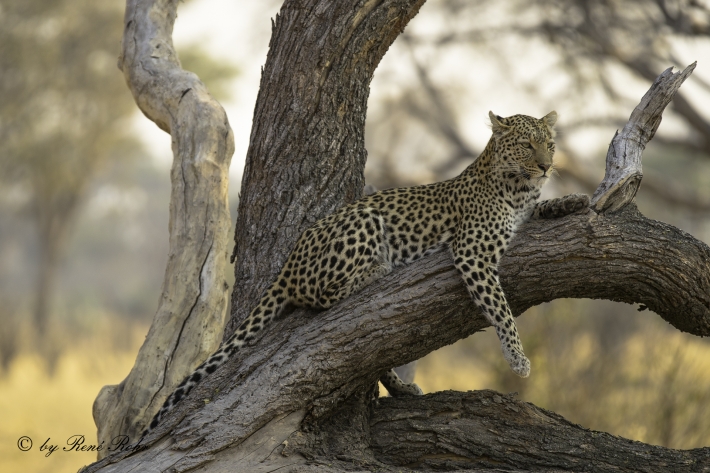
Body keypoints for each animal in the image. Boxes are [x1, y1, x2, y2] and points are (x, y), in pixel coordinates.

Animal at [143, 111, 589, 436]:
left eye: (550, 144)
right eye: (527, 144)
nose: (547, 166)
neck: (517, 188)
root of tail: (289, 261)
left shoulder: (521, 215)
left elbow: (543, 210)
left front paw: (572, 200)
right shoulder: (472, 251)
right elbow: (500, 308)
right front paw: (518, 359)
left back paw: (403, 385)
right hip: (365, 220)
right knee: (323, 295)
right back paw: (378, 270)